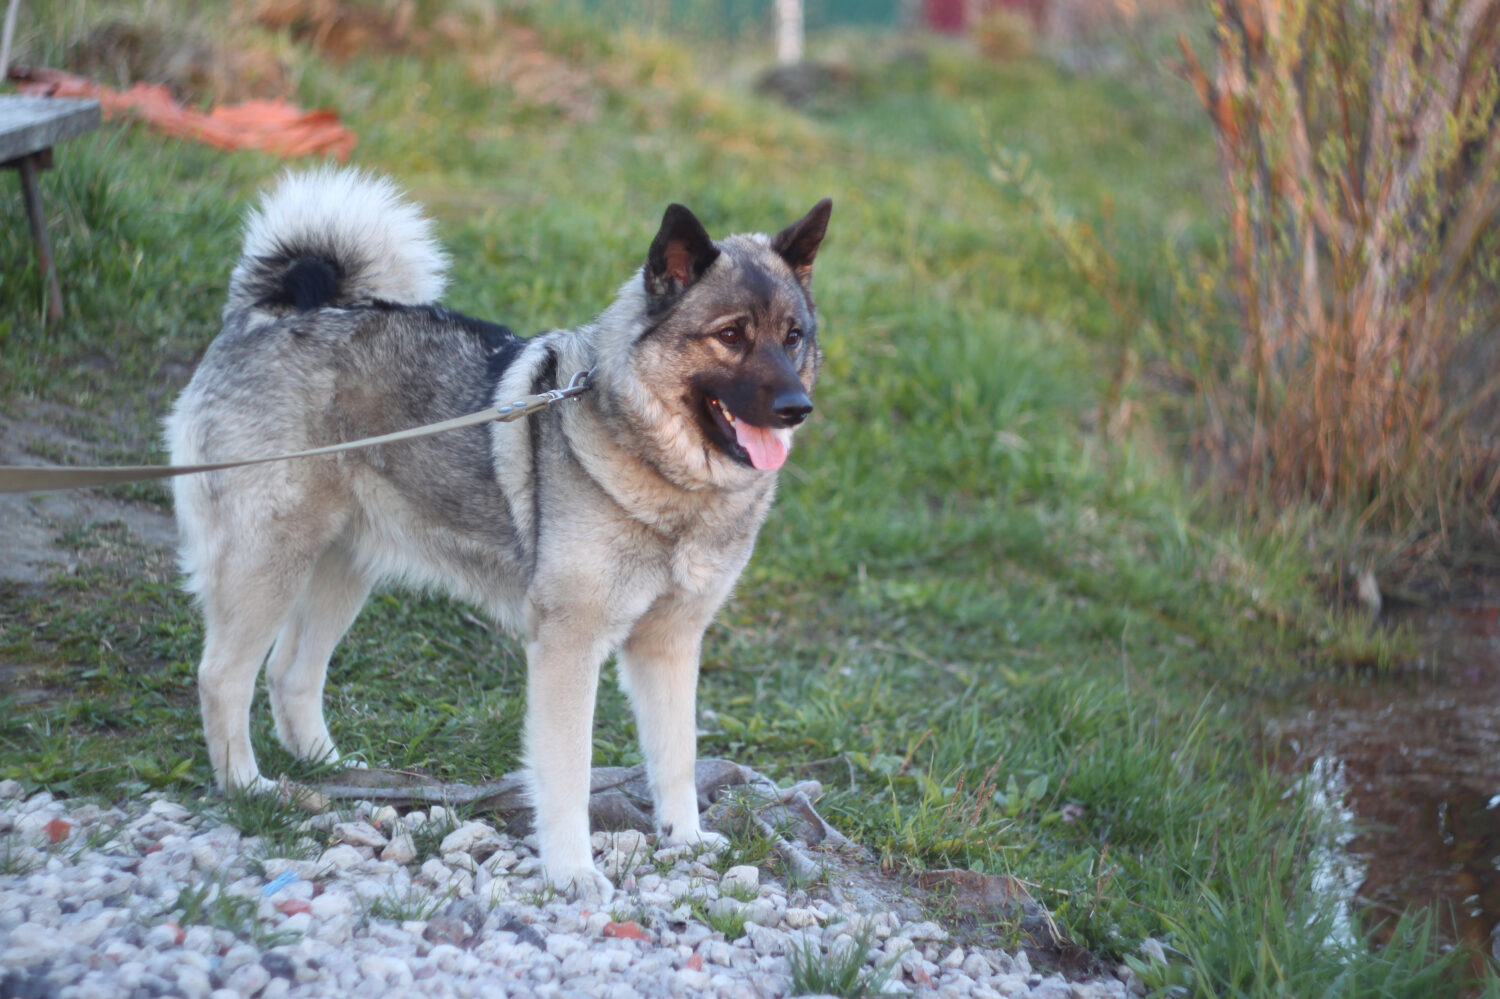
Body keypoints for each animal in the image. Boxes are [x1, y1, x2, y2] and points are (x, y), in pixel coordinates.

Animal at [164, 169, 834, 894]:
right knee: (222, 676)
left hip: (341, 568)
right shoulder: (569, 645)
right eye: (731, 336)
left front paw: (683, 837)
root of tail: (272, 310)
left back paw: (337, 770)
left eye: (792, 336)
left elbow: (676, 754)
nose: (797, 407)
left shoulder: (670, 644)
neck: (671, 480)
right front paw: (573, 872)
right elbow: (568, 772)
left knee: (291, 671)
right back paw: (247, 786)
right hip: (269, 561)